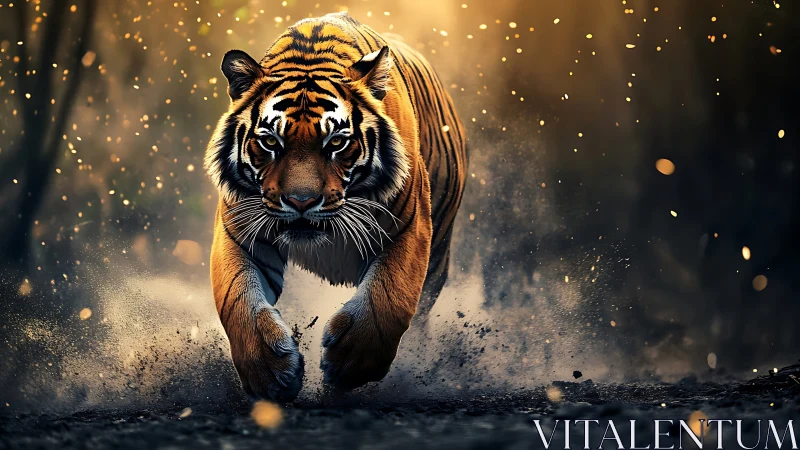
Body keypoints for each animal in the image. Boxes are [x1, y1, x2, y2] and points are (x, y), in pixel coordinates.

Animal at [204, 12, 466, 401]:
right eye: (270, 142)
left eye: (337, 143)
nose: (300, 201)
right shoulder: (240, 233)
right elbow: (238, 303)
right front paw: (271, 373)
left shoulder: (409, 227)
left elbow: (388, 297)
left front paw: (349, 364)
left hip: (439, 250)